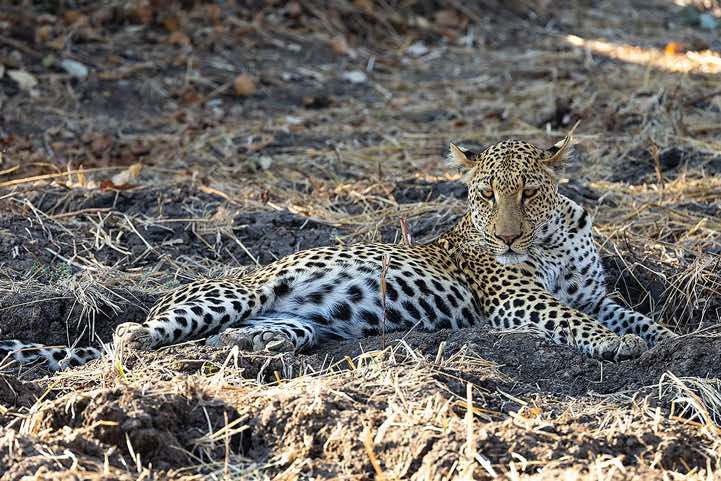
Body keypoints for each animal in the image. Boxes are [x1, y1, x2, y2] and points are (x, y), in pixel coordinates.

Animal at [0, 131, 677, 371]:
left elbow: (637, 317)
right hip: (238, 289)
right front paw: (616, 346)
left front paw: (673, 342)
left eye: (530, 192)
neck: (551, 234)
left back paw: (249, 349)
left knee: (230, 338)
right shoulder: (520, 301)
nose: (508, 236)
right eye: (486, 195)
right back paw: (142, 347)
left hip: (292, 322)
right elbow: (571, 319)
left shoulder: (597, 294)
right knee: (131, 335)